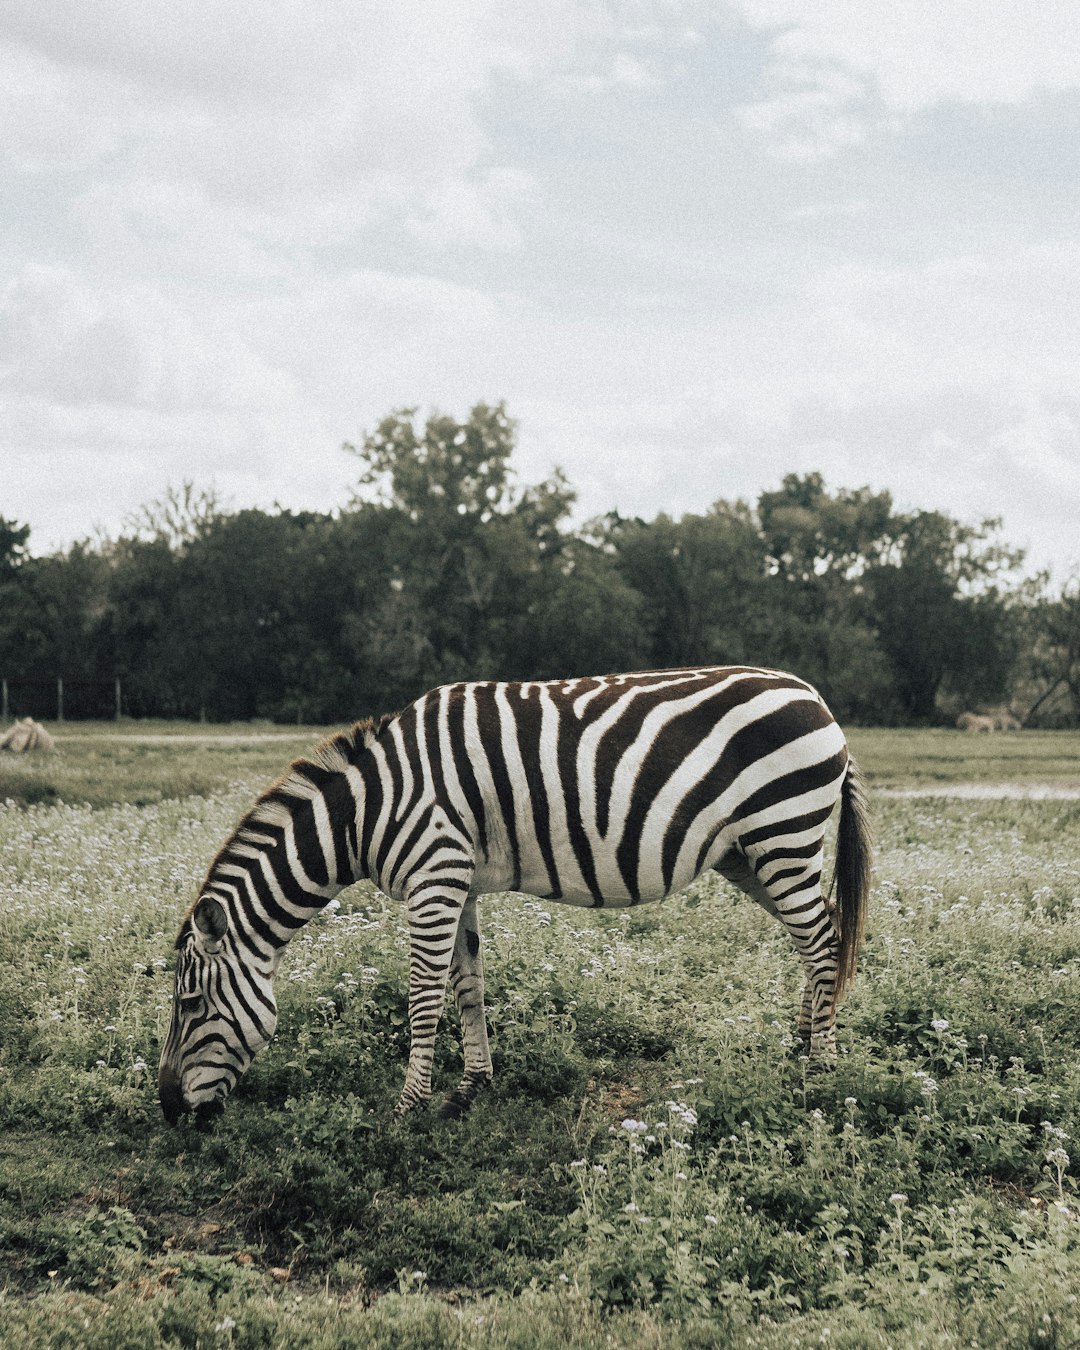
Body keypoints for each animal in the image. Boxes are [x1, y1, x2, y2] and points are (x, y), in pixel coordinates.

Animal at [157, 666, 869, 1128]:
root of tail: (816, 697)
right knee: (822, 931)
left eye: (190, 1005)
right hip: (750, 853)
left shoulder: (433, 875)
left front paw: (407, 1109)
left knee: (822, 938)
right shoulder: (458, 881)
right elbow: (467, 986)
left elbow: (423, 997)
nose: (167, 1111)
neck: (366, 810)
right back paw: (803, 1040)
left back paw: (822, 1072)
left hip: (782, 831)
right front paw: (469, 1090)